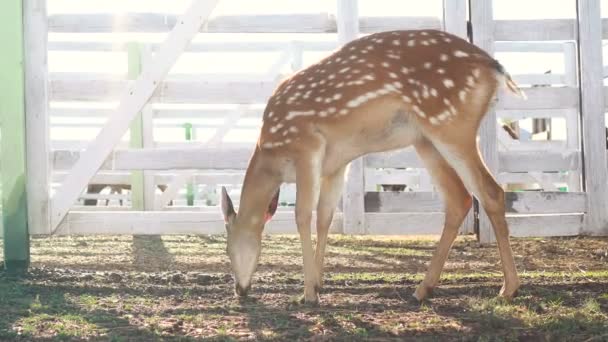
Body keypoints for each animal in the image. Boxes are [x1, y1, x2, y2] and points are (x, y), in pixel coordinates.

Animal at [221, 30, 524, 304]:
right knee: (459, 198)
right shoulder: (335, 164)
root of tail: (495, 68)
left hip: (451, 123)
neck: (270, 153)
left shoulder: (307, 145)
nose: (239, 289)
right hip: (425, 139)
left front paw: (307, 294)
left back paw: (507, 289)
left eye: (227, 249)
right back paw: (423, 289)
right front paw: (318, 283)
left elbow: (302, 215)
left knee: (490, 191)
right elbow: (325, 216)